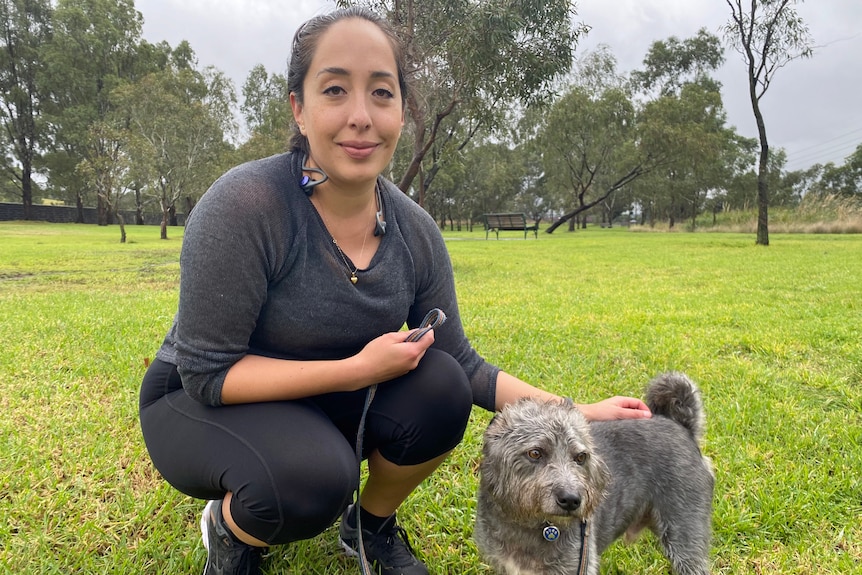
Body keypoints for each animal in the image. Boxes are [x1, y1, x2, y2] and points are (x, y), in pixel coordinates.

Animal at [472, 374, 716, 575]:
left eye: (581, 457)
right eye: (535, 453)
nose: (571, 500)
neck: (524, 524)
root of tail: (682, 428)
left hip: (685, 537)